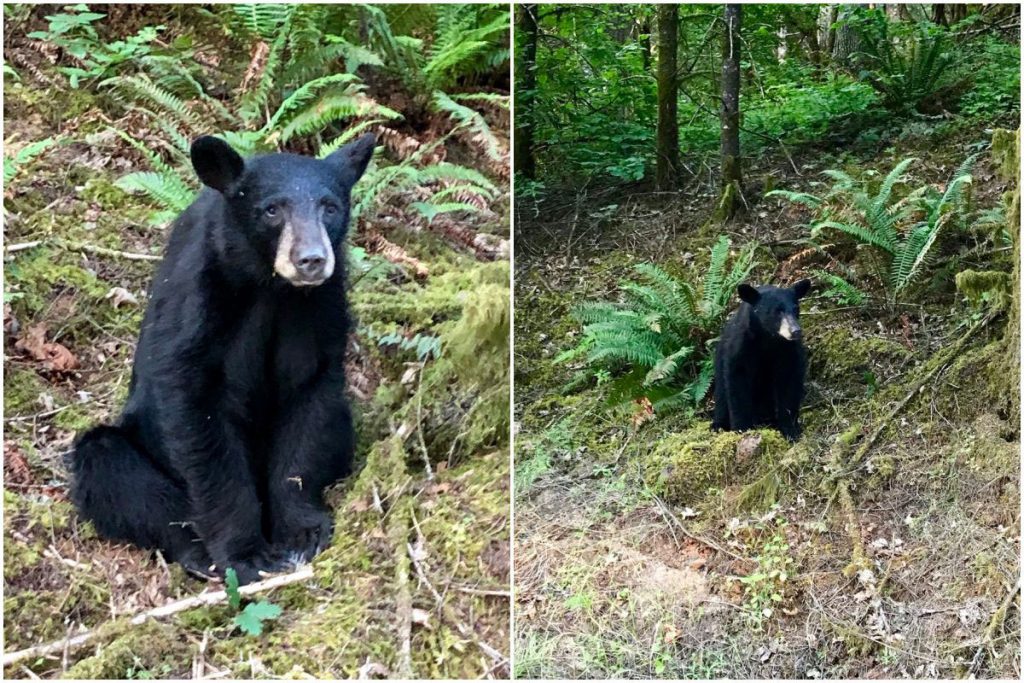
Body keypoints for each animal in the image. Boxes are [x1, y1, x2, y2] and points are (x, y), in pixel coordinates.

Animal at [70, 135, 378, 589]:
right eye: (271, 209)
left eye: (330, 206)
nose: (311, 259)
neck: (271, 288)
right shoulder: (200, 302)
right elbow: (198, 416)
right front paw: (245, 553)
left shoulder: (320, 309)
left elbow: (310, 398)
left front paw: (301, 531)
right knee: (110, 467)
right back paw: (197, 552)